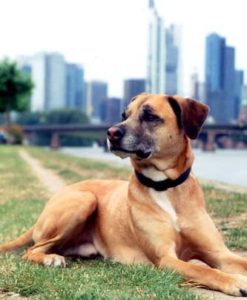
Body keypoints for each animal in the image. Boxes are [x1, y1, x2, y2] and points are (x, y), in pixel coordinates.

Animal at [0, 93, 247, 296]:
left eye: (150, 116)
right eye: (124, 115)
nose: (110, 132)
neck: (166, 187)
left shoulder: (219, 253)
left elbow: (233, 262)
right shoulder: (166, 258)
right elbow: (204, 271)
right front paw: (235, 280)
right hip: (84, 200)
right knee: (31, 250)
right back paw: (50, 258)